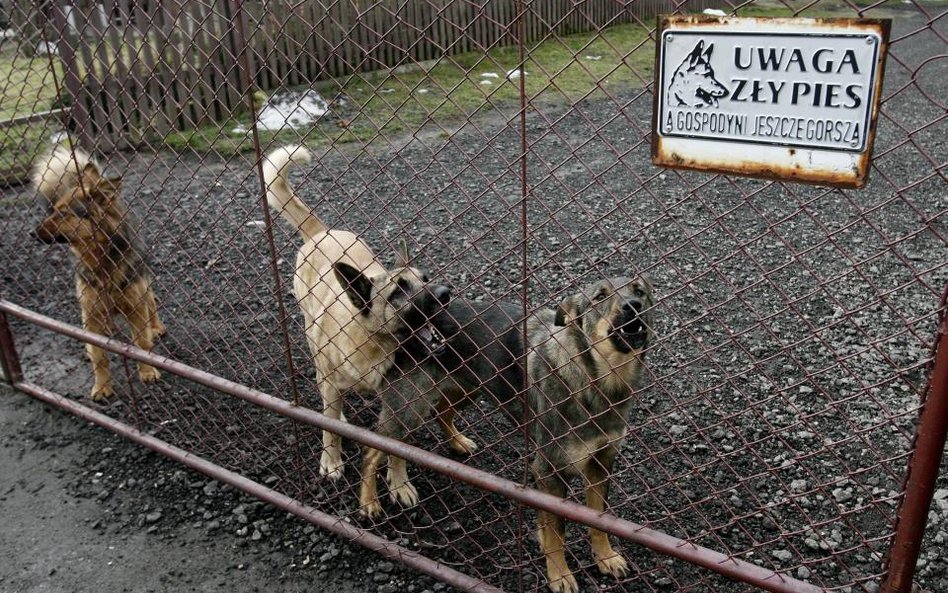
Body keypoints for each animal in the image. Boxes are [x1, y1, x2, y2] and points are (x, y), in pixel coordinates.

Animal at [32, 146, 165, 400]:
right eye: (53, 210)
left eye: (63, 214)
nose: (31, 234)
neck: (101, 261)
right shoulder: (90, 312)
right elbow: (99, 356)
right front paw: (102, 387)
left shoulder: (134, 304)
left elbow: (141, 342)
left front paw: (147, 371)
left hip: (142, 285)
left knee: (151, 303)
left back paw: (156, 327)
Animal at [262, 146, 450, 478]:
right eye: (398, 292)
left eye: (425, 279)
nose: (446, 293)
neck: (371, 343)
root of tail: (322, 232)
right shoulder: (333, 383)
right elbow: (330, 427)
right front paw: (331, 460)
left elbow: (396, 446)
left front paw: (399, 480)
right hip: (312, 336)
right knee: (325, 394)